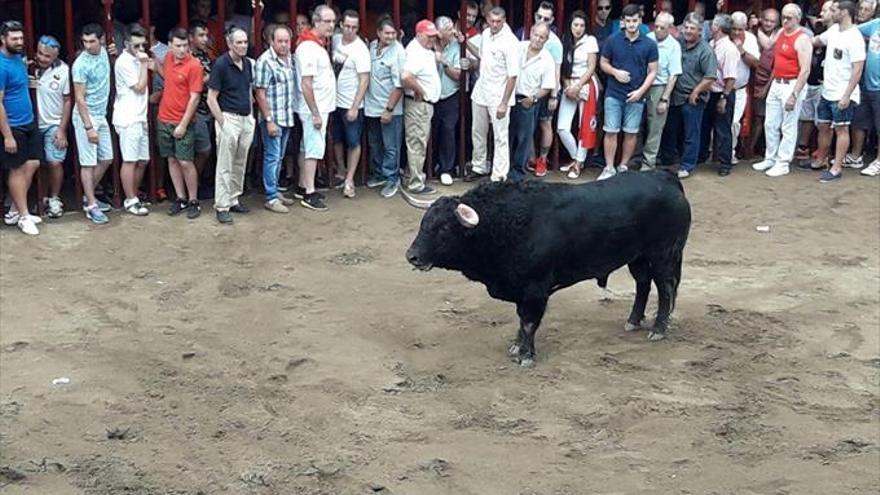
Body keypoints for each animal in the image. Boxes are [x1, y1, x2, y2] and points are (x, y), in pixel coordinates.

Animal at [408, 170, 696, 368]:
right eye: (424, 224)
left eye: (444, 228)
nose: (412, 256)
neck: (507, 223)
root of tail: (664, 177)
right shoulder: (521, 290)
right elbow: (521, 320)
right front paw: (517, 347)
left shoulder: (535, 289)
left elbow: (529, 322)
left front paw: (525, 355)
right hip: (638, 257)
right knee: (643, 284)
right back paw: (633, 321)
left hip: (663, 255)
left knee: (665, 288)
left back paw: (658, 330)